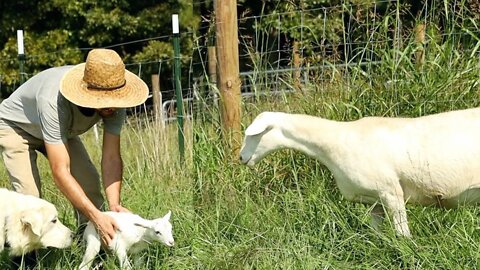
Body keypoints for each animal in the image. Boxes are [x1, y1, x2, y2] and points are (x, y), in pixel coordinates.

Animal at [239, 108, 480, 237]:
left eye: (253, 134)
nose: (241, 158)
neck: (336, 142)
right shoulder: (373, 200)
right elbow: (377, 234)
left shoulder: (390, 191)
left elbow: (402, 234)